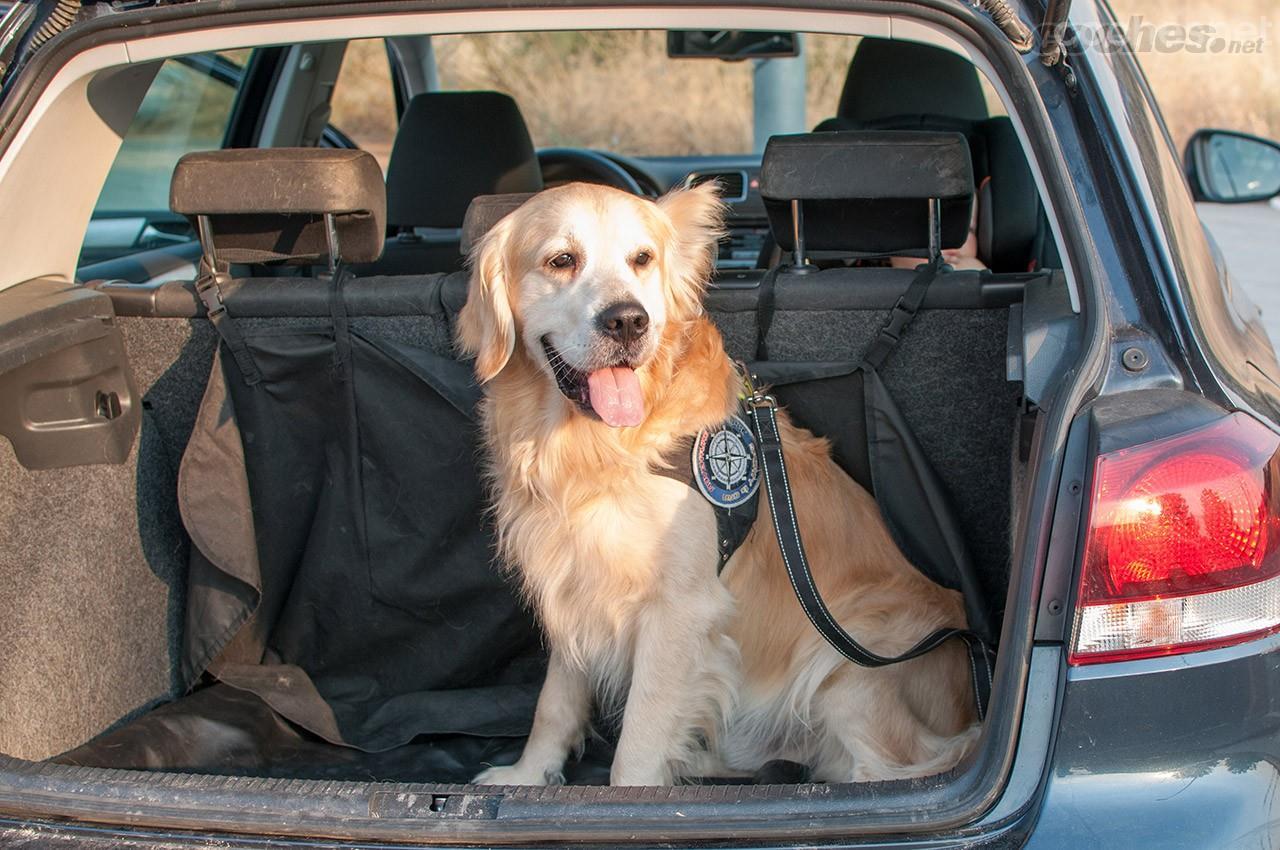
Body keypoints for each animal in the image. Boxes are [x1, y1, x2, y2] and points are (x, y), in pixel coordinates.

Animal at [460, 183, 977, 788]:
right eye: (561, 260)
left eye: (642, 259)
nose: (628, 322)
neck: (594, 446)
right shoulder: (572, 578)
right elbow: (555, 702)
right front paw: (527, 774)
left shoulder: (679, 610)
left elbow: (638, 744)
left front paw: (627, 797)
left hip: (851, 657)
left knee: (885, 770)